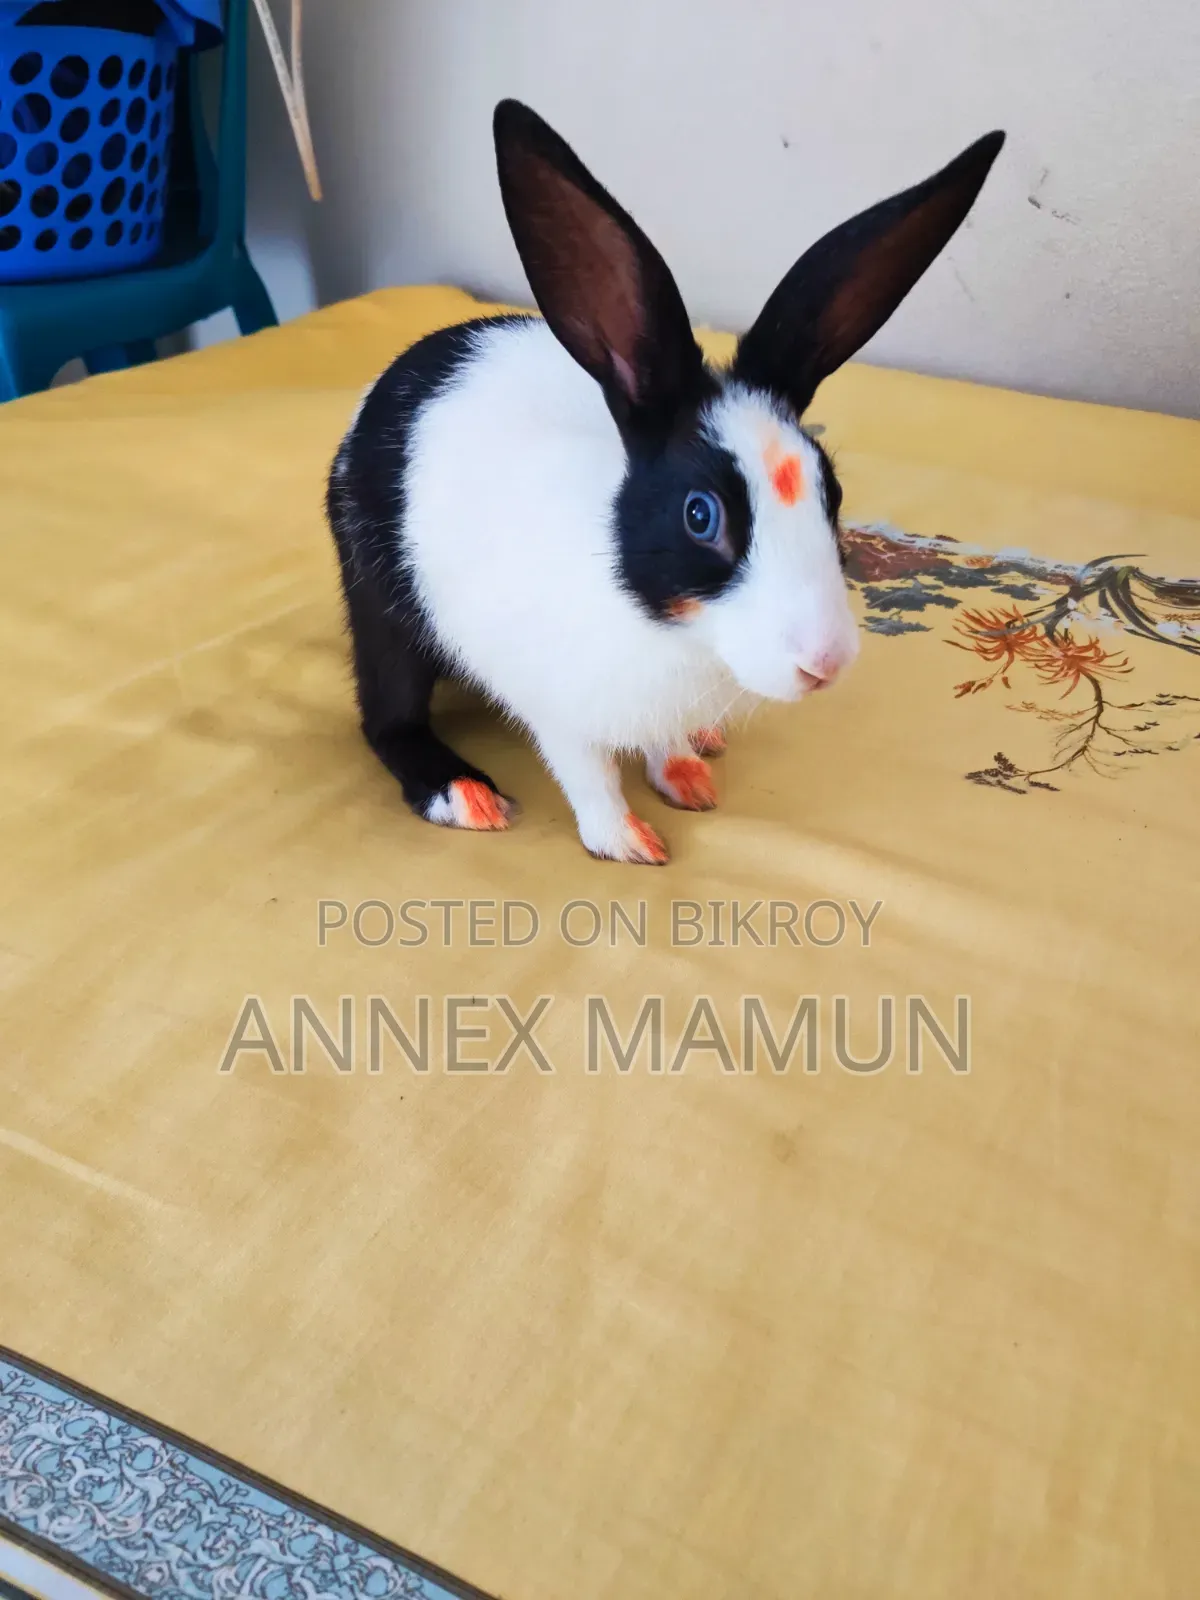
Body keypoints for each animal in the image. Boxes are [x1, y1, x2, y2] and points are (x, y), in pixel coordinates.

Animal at [326, 100, 1004, 863]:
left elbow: (663, 742)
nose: (825, 664)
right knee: (387, 714)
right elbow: (586, 771)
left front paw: (686, 780)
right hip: (382, 603)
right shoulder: (555, 702)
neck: (674, 629)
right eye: (701, 516)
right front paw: (628, 843)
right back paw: (464, 795)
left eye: (831, 493)